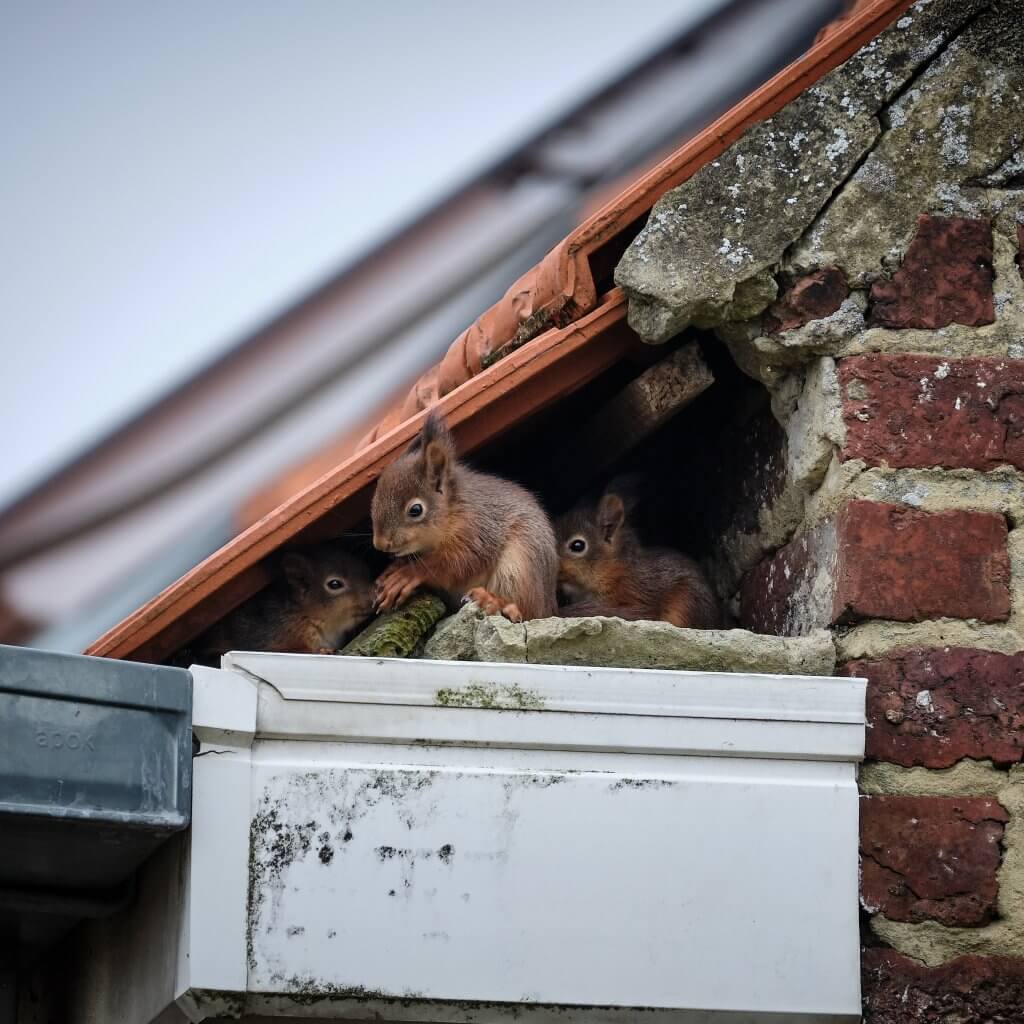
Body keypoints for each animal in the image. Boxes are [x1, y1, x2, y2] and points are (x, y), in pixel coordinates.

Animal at [371, 410, 558, 622]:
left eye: (415, 510)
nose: (380, 544)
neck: (452, 510)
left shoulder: (477, 528)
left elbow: (457, 562)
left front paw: (407, 574)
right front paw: (391, 570)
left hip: (521, 565)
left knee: (527, 612)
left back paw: (494, 602)